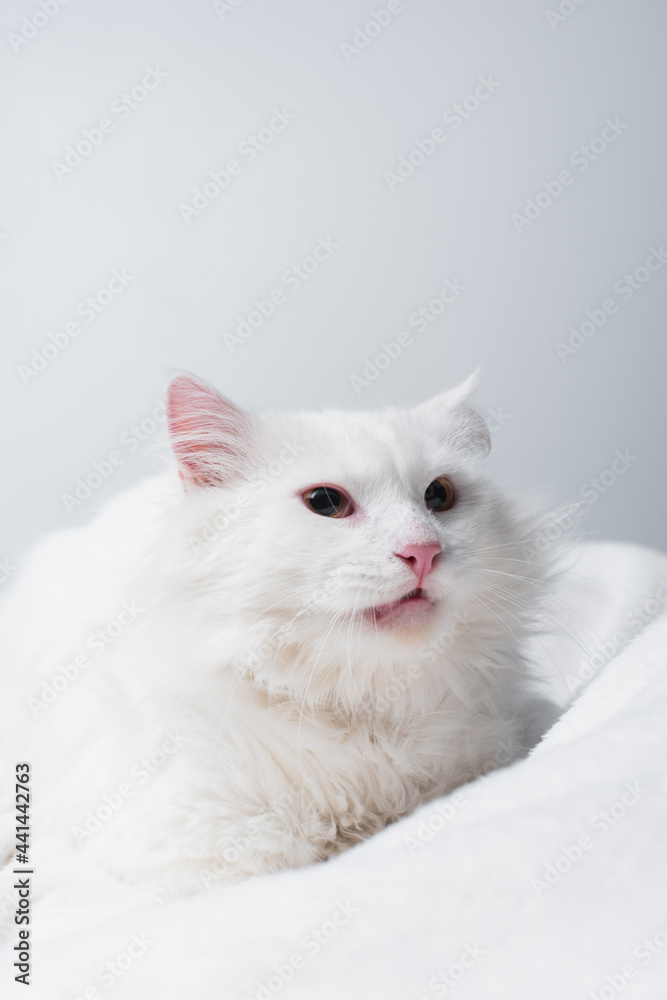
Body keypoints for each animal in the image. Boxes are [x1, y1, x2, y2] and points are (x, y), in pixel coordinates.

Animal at [0, 374, 560, 884]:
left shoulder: (502, 744)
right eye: (326, 502)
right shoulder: (194, 843)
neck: (365, 710)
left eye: (439, 495)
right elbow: (307, 847)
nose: (423, 551)